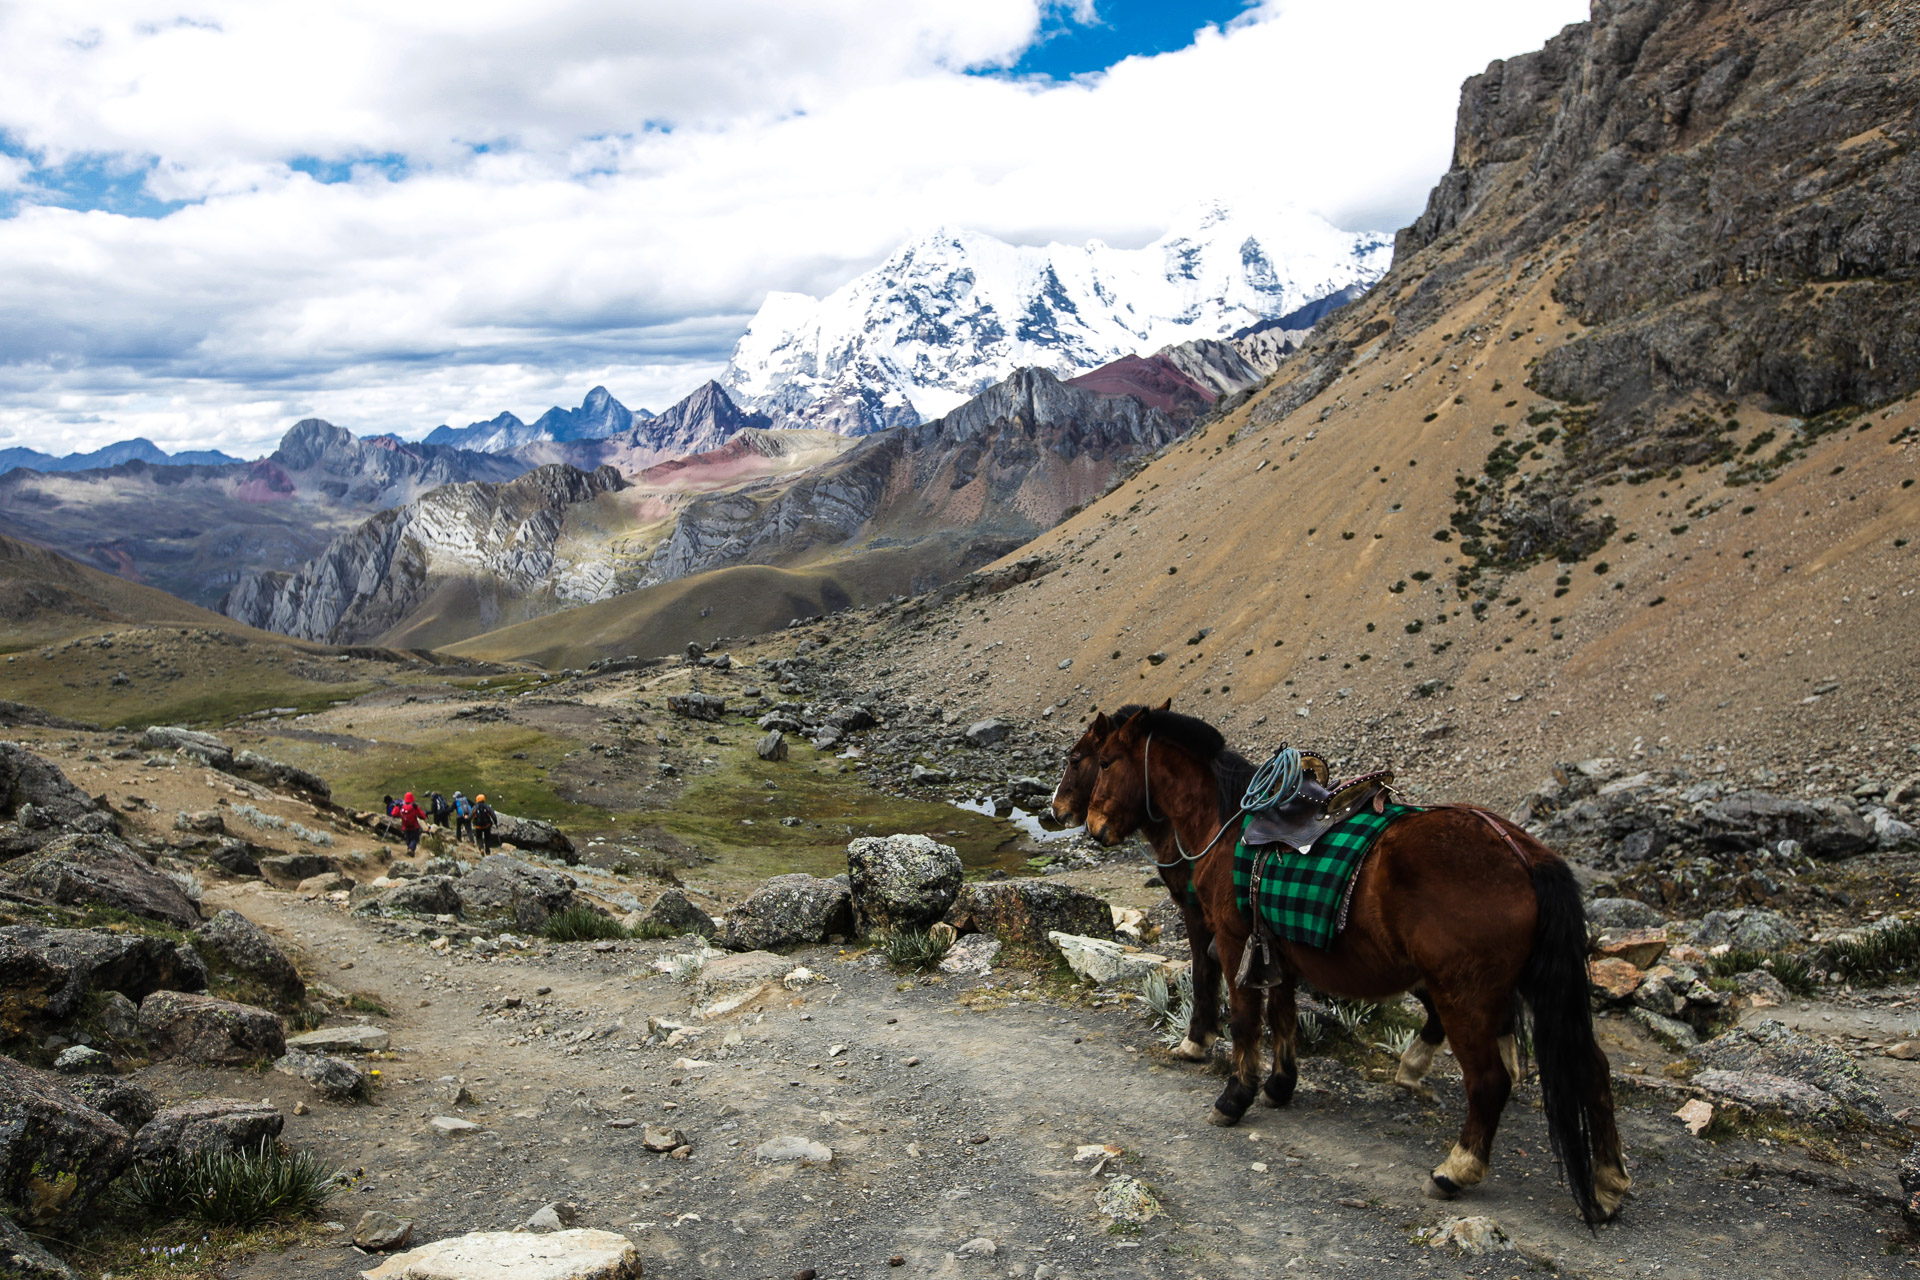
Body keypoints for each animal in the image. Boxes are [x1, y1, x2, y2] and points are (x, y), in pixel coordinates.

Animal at [1090, 706, 1628, 1228]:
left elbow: (1245, 1020)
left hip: (1466, 996)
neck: (1225, 823)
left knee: (1490, 1081)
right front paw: (1279, 1087)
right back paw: (1608, 1184)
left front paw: (1233, 1098)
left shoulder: (1232, 937)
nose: (1094, 827)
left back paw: (1454, 1170)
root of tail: (1522, 853)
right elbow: (1283, 1018)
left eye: (1104, 762)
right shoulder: (1279, 949)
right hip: (1533, 987)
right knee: (1592, 1070)